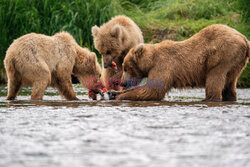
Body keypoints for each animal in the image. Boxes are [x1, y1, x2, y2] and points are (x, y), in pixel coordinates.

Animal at [114, 24, 249, 101]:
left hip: (222, 55)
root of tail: (245, 39)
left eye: (125, 68)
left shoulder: (163, 65)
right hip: (237, 63)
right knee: (230, 83)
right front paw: (114, 92)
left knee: (214, 79)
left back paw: (210, 99)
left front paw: (120, 96)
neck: (151, 61)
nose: (123, 82)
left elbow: (153, 90)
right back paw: (230, 98)